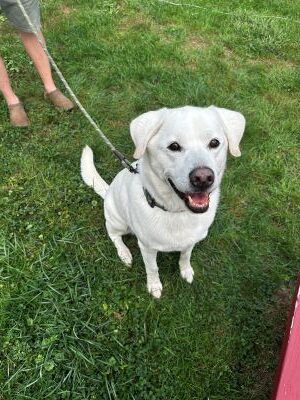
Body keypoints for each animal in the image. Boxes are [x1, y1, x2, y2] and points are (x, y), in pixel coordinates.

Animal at [81, 105, 245, 296]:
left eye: (214, 143)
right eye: (174, 146)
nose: (203, 178)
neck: (176, 212)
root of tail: (107, 191)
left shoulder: (191, 241)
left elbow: (185, 256)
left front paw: (186, 270)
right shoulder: (147, 248)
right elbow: (152, 268)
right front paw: (154, 286)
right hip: (118, 221)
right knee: (113, 235)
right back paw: (124, 253)